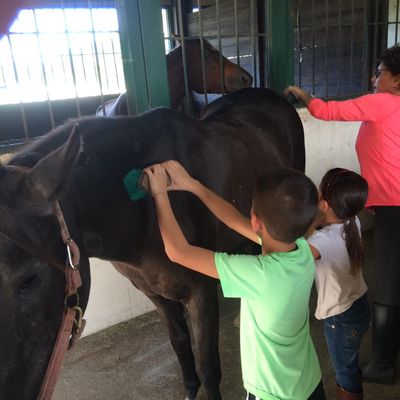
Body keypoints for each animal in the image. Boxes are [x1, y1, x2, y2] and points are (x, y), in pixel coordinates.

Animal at [0, 88, 304, 400]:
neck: (141, 212)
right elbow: (180, 344)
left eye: (29, 279)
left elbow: (208, 364)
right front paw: (190, 389)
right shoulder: (153, 292)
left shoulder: (201, 292)